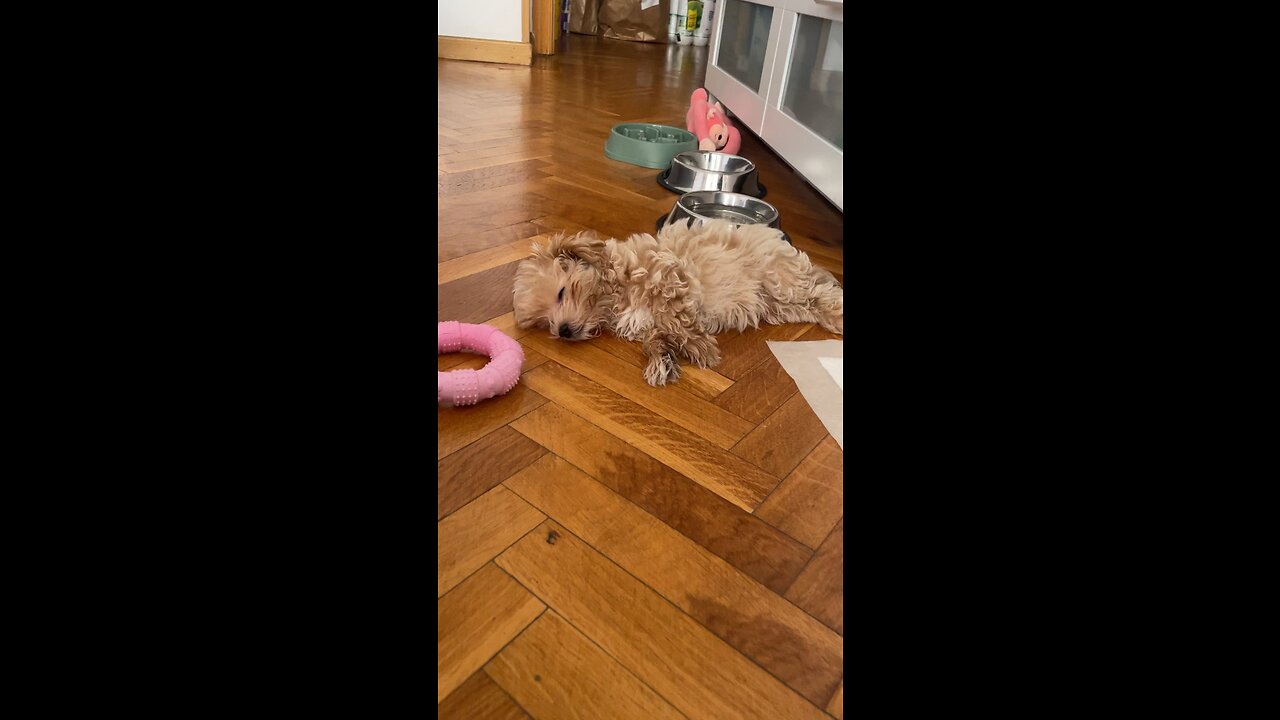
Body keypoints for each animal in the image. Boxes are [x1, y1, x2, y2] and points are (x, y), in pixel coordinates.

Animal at [509, 217, 839, 384]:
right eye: (545, 323)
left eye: (561, 293)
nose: (562, 330)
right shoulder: (647, 322)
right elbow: (655, 337)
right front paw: (662, 360)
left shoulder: (668, 277)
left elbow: (675, 315)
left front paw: (699, 347)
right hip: (780, 306)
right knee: (811, 302)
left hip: (780, 279)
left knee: (819, 291)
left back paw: (838, 312)